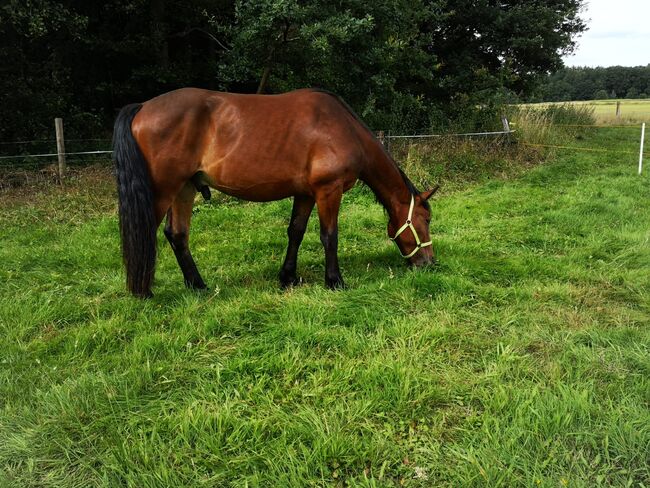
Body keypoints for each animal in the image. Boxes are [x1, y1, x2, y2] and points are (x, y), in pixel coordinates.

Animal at [112, 86, 436, 298]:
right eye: (426, 219)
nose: (429, 263)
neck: (344, 128)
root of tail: (142, 107)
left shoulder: (306, 193)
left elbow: (296, 231)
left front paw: (288, 277)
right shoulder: (328, 191)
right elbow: (329, 236)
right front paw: (335, 281)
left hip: (185, 188)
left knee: (177, 234)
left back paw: (198, 286)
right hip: (163, 191)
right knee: (147, 232)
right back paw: (143, 292)